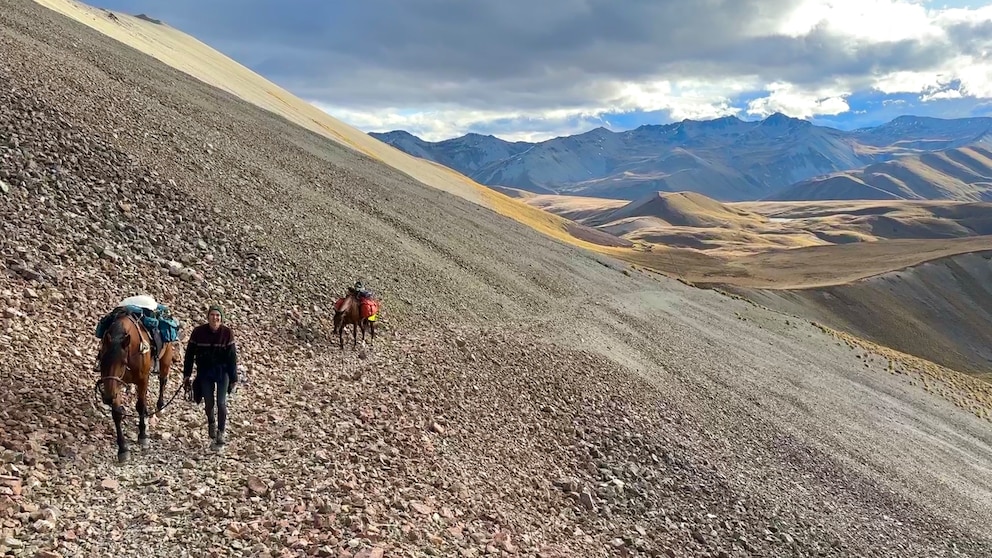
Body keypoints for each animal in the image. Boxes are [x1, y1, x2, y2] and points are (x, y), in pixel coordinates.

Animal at [95, 310, 176, 464]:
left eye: (123, 361)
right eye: (102, 360)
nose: (107, 397)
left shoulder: (142, 379)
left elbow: (140, 405)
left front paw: (143, 435)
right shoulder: (115, 384)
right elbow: (117, 413)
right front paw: (123, 449)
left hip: (166, 358)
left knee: (162, 380)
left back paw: (160, 407)